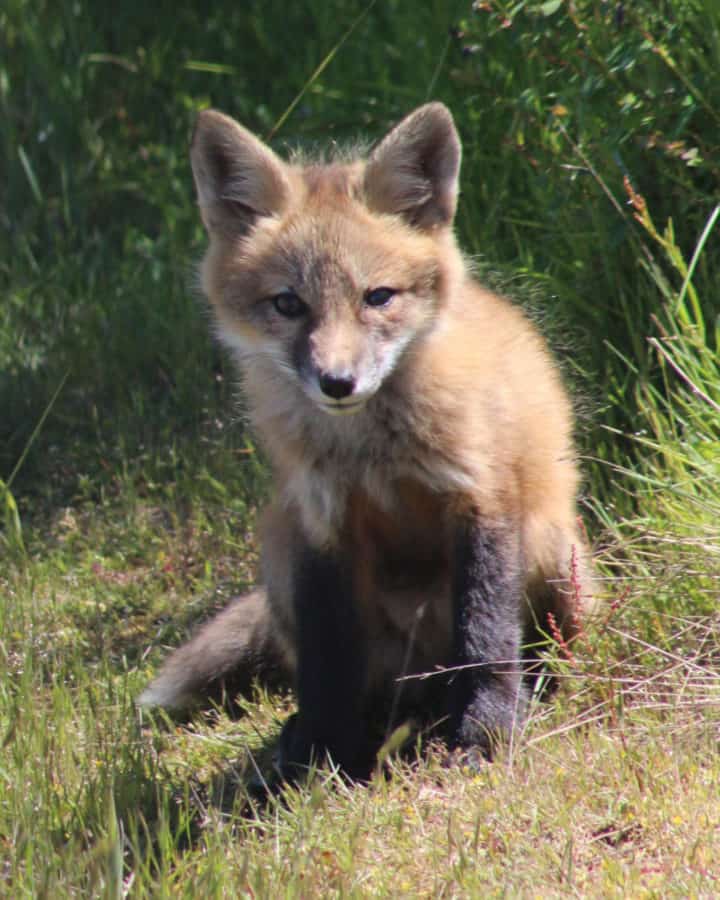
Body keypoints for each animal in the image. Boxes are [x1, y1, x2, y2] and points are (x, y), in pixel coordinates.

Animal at [138, 103, 592, 780]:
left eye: (377, 297)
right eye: (288, 304)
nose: (337, 381)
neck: (371, 452)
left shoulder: (480, 496)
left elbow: (485, 633)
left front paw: (486, 729)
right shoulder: (325, 524)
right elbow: (328, 662)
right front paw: (326, 750)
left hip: (556, 551)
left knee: (527, 648)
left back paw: (526, 690)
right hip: (281, 549)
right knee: (369, 682)